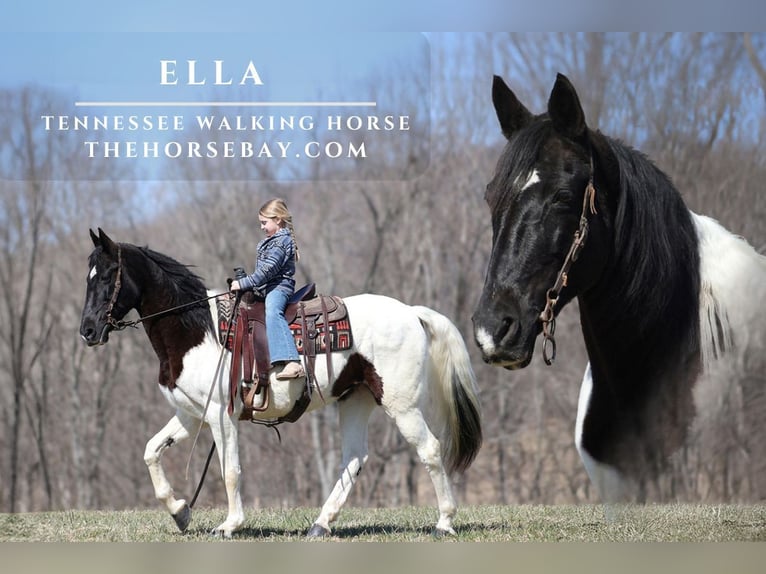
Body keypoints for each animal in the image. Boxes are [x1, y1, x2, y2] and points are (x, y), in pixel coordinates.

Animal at [79, 228, 482, 537]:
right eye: (88, 276)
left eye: (108, 275)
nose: (88, 331)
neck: (196, 330)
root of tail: (411, 313)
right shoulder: (192, 415)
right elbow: (151, 451)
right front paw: (180, 510)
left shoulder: (220, 415)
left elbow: (230, 471)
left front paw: (230, 525)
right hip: (356, 398)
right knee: (354, 458)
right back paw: (321, 524)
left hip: (401, 404)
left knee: (429, 449)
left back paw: (444, 523)